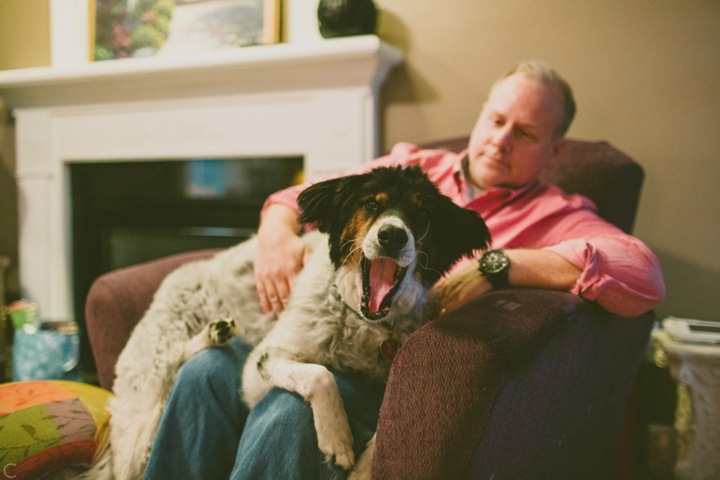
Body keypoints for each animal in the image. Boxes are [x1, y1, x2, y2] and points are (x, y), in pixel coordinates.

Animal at [84, 165, 490, 480]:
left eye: (422, 216)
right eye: (371, 204)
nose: (392, 235)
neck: (363, 321)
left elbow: (384, 432)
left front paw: (363, 466)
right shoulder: (259, 366)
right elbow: (320, 375)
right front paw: (336, 436)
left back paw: (213, 335)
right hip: (145, 396)